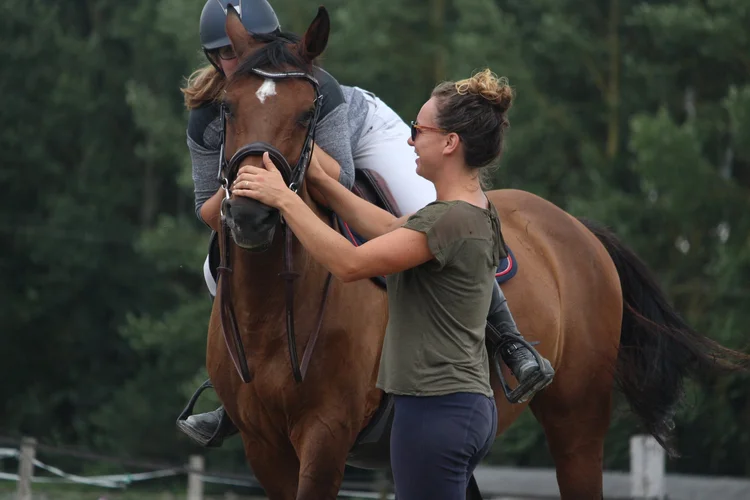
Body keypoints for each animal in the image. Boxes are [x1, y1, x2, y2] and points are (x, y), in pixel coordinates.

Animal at [206, 4, 750, 500]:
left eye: (307, 114)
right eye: (227, 109)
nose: (252, 216)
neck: (274, 310)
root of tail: (580, 228)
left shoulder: (326, 435)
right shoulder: (264, 448)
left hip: (578, 420)